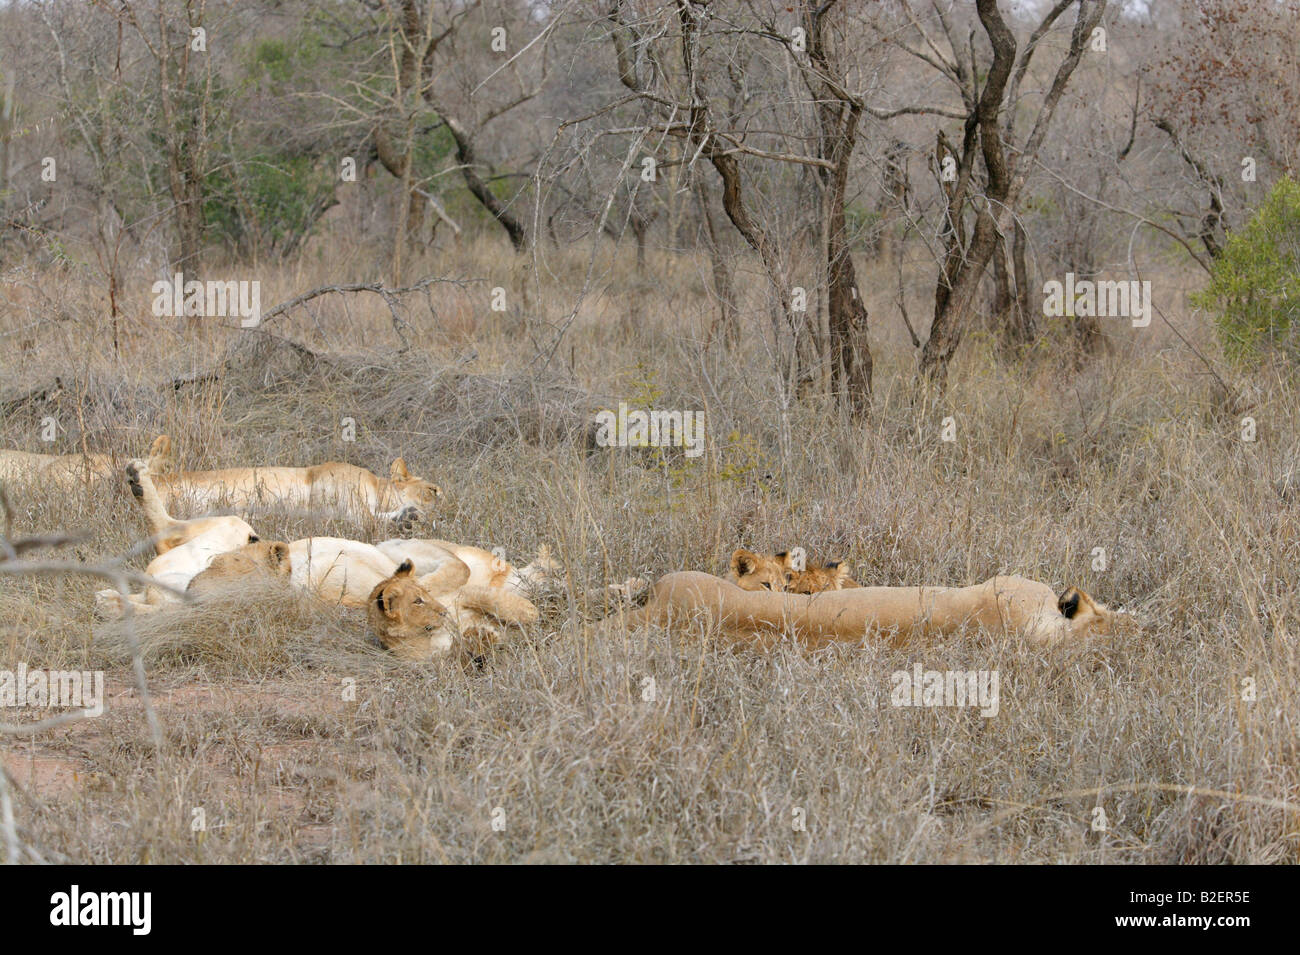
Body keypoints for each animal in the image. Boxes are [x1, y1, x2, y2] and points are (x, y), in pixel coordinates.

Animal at [145, 435, 441, 528]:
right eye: (432, 490)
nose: (443, 508)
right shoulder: (346, 501)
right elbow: (369, 519)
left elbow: (380, 516)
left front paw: (409, 517)